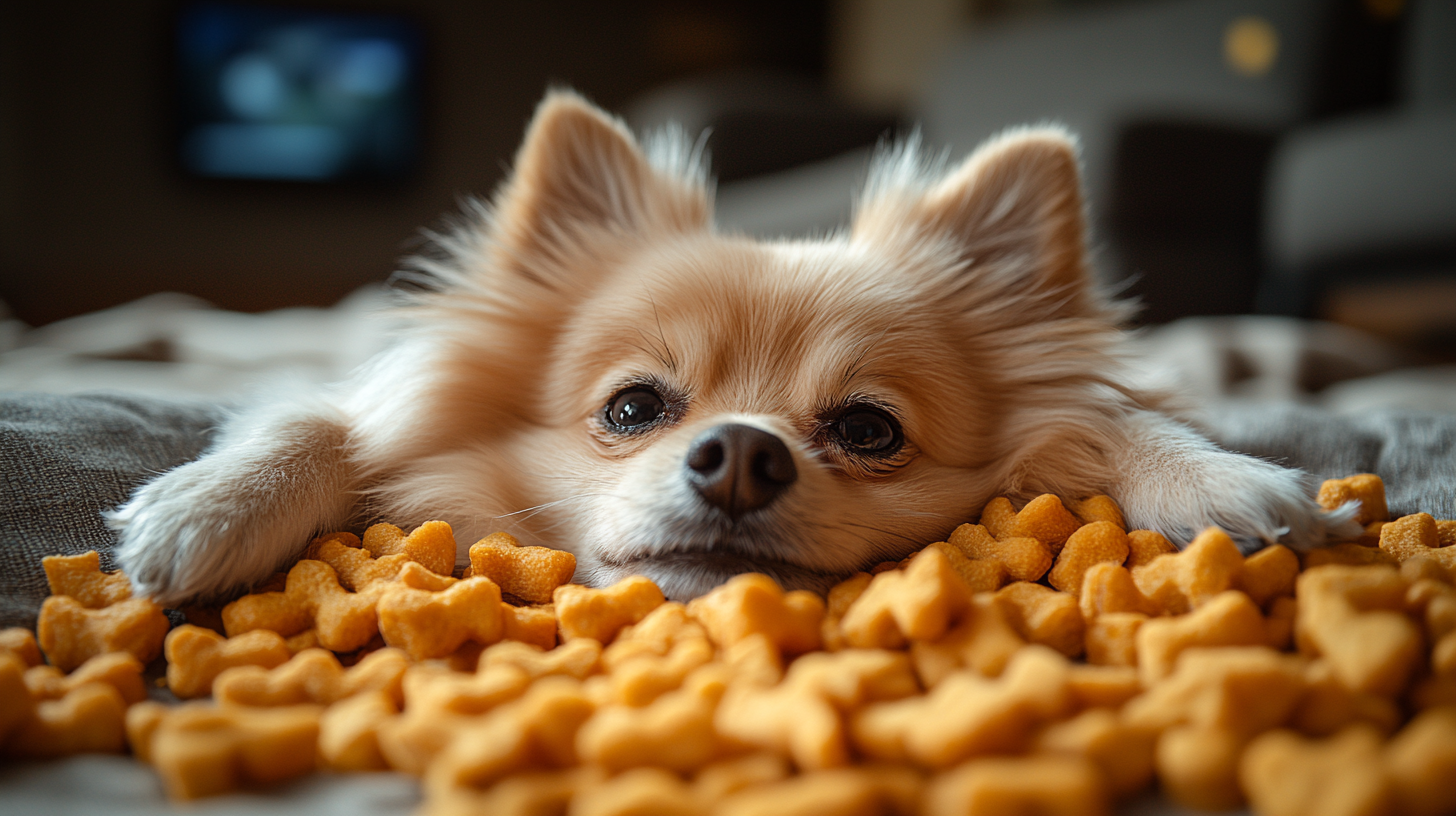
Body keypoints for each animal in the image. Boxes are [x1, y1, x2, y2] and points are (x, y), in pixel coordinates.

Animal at [107, 92, 1356, 609]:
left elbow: (1118, 418)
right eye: (631, 409)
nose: (741, 456)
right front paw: (206, 509)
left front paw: (1223, 483)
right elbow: (320, 418)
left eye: (867, 429)